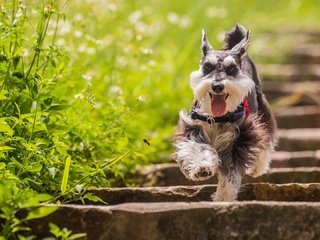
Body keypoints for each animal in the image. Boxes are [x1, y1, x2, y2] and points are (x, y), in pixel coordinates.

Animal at [174, 24, 276, 201]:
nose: (217, 86)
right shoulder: (192, 129)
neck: (217, 117)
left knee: (266, 138)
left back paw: (258, 167)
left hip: (262, 110)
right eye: (207, 66)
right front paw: (202, 167)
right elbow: (198, 148)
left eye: (232, 69)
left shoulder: (240, 138)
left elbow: (231, 172)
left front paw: (223, 196)